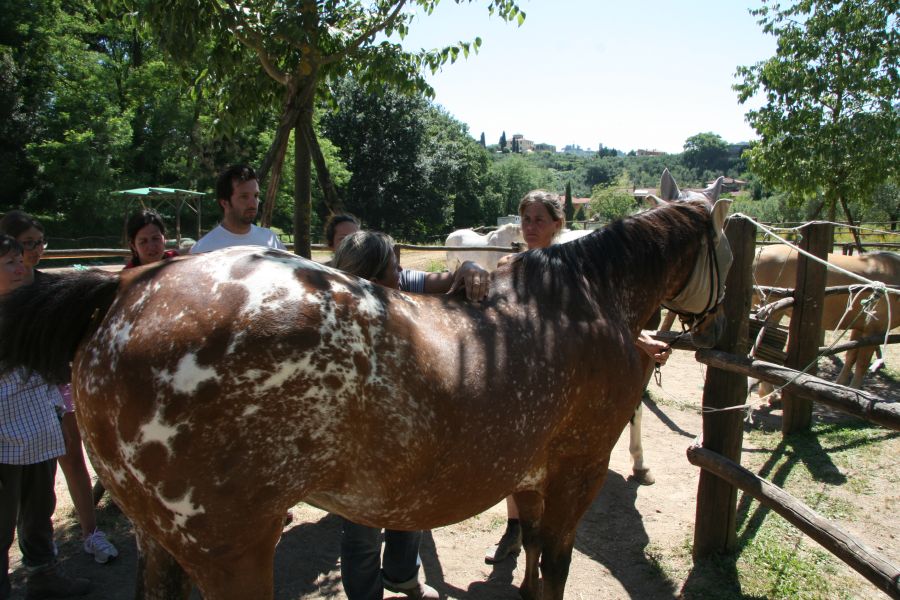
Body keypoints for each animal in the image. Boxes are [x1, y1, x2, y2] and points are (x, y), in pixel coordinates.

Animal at [0, 171, 732, 596]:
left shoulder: (532, 471)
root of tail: (126, 291)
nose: (720, 313)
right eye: (727, 244)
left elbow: (527, 555)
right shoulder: (577, 468)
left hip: (161, 542)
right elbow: (551, 564)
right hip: (232, 553)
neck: (579, 301)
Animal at [752, 244, 900, 390]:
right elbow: (862, 364)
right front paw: (854, 388)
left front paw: (840, 386)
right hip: (774, 313)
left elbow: (851, 357)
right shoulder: (874, 330)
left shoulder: (859, 328)